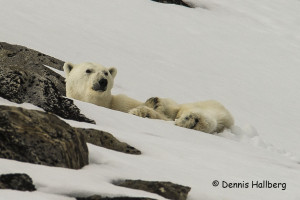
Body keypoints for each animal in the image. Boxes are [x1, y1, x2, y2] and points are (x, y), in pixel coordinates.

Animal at [63, 61, 234, 134]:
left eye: (105, 72)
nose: (102, 81)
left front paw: (145, 108)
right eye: (88, 70)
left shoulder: (121, 101)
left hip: (205, 106)